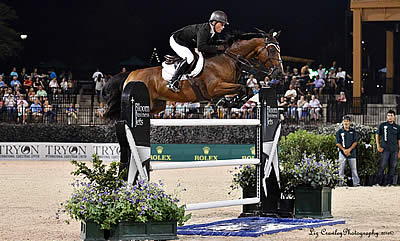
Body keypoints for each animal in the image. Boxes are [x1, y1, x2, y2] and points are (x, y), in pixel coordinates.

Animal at [103, 29, 284, 119]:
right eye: (272, 51)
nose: (280, 74)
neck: (228, 58)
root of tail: (131, 74)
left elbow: (246, 90)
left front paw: (229, 102)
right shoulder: (215, 88)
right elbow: (241, 88)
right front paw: (226, 102)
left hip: (157, 105)